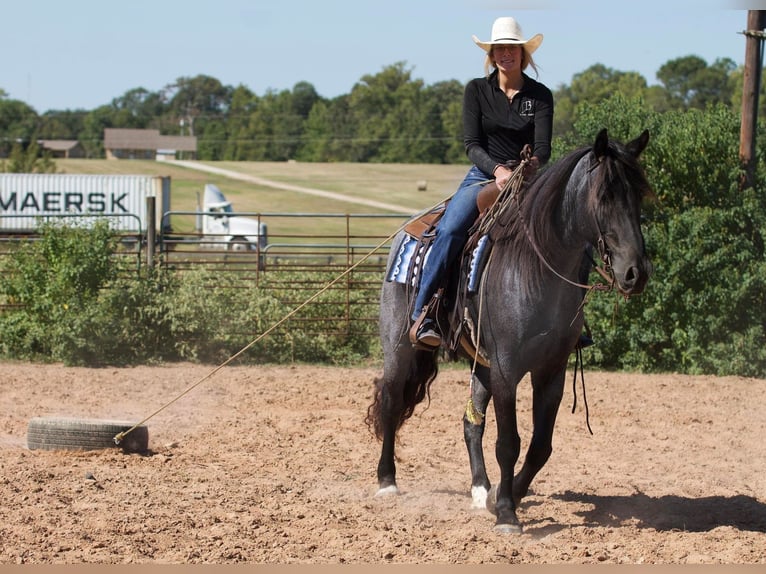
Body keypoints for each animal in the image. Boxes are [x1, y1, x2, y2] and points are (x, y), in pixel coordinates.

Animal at [366, 128, 656, 532]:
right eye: (604, 195)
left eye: (638, 194)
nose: (635, 272)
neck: (535, 266)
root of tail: (410, 231)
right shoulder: (506, 368)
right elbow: (509, 442)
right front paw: (505, 512)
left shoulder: (551, 370)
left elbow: (540, 447)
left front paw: (504, 497)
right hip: (400, 347)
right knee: (392, 400)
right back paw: (387, 481)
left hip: (481, 365)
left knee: (471, 422)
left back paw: (480, 489)